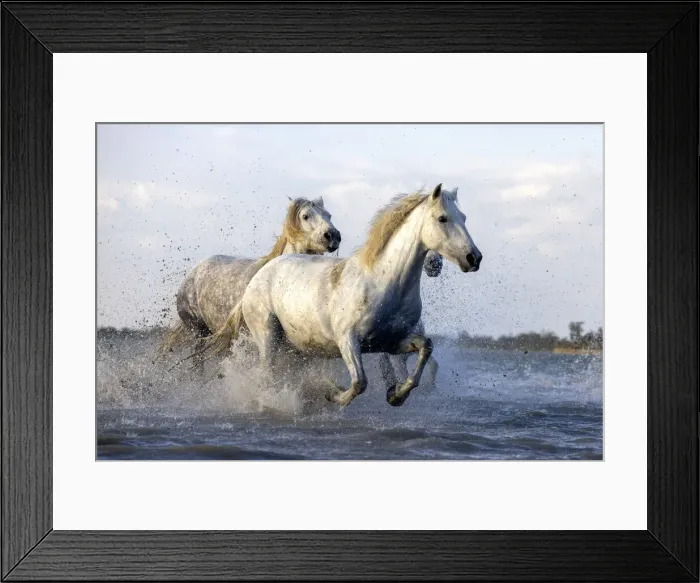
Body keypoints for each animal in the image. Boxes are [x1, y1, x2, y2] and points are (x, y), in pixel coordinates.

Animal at [210, 183, 482, 407]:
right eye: (442, 218)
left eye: (464, 217)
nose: (474, 258)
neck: (385, 284)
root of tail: (260, 274)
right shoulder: (348, 341)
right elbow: (360, 382)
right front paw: (332, 393)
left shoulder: (391, 342)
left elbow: (426, 349)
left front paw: (395, 395)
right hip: (269, 339)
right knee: (267, 376)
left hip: (298, 347)